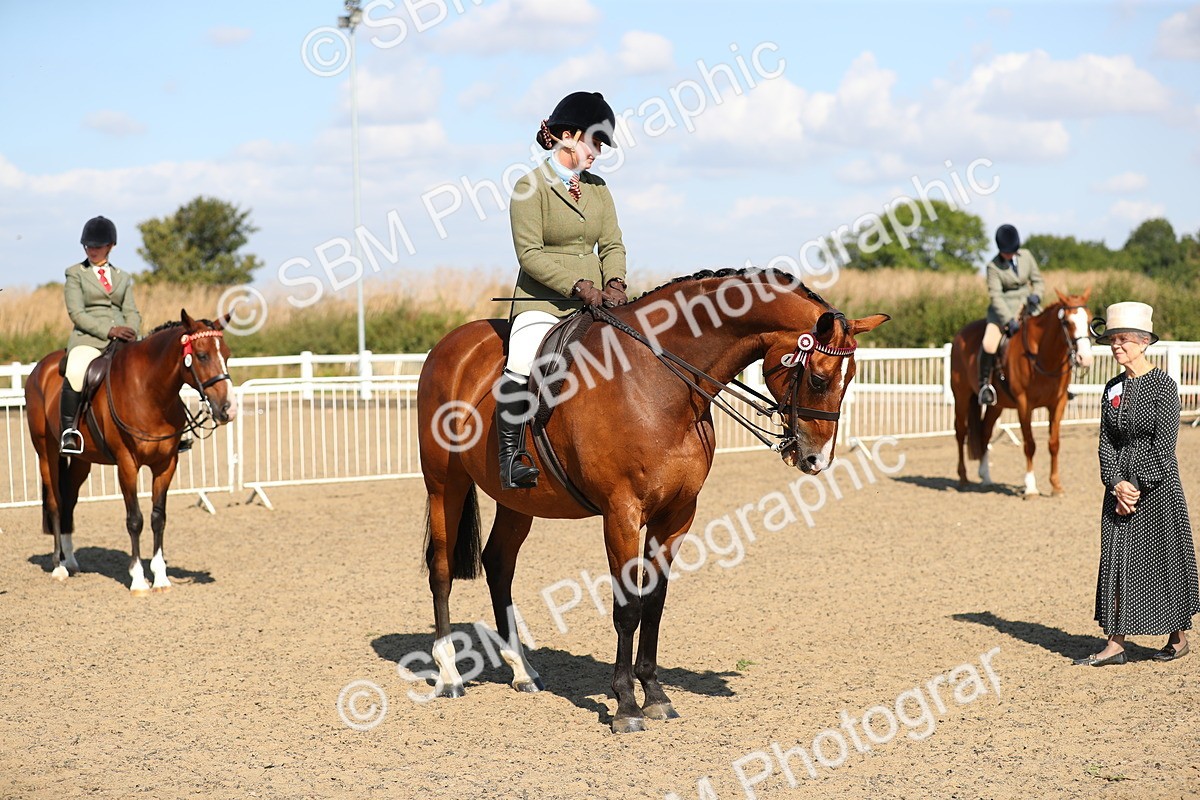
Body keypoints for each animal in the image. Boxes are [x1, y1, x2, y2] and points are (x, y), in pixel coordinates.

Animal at [24, 310, 238, 594]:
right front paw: (138, 580)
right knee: (55, 503)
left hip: (82, 461)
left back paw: (70, 560)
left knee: (69, 499)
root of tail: (41, 367)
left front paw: (160, 577)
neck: (149, 391)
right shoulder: (127, 464)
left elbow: (158, 517)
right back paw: (59, 567)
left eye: (226, 354)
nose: (228, 409)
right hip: (46, 452)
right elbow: (134, 519)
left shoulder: (165, 465)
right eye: (202, 355)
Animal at [417, 267, 889, 733]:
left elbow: (655, 603)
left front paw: (656, 696)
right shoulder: (621, 514)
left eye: (849, 379)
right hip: (444, 483)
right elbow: (628, 607)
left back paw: (521, 671)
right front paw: (626, 705)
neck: (658, 384)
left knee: (499, 564)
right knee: (441, 569)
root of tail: (451, 343)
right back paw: (449, 674)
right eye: (819, 378)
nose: (816, 459)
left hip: (518, 501)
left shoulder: (676, 515)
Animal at [950, 289, 1093, 495]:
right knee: (961, 432)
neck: (1042, 356)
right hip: (961, 396)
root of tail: (961, 333)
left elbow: (1054, 444)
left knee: (985, 432)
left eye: (1090, 321)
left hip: (997, 405)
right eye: (1066, 322)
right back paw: (963, 478)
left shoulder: (1058, 404)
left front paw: (1056, 485)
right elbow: (1030, 444)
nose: (1085, 358)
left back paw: (986, 477)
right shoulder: (1024, 404)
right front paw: (1031, 487)